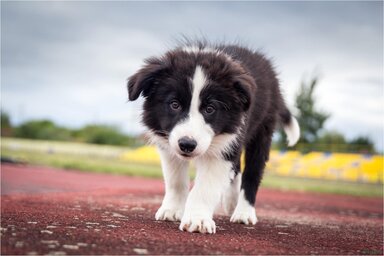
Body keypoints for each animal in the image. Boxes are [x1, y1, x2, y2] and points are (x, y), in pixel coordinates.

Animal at [127, 40, 300, 234]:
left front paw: (198, 220)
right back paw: (231, 201)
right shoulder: (170, 146)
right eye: (174, 104)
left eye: (210, 109)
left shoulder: (223, 149)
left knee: (252, 173)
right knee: (236, 168)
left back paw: (244, 213)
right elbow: (176, 181)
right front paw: (172, 210)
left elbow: (205, 187)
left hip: (262, 131)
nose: (187, 144)